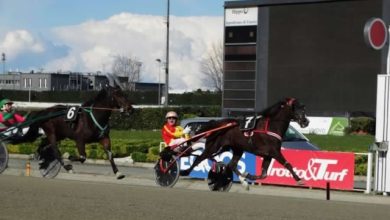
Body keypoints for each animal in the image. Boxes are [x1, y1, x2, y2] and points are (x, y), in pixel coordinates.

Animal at [180, 98, 310, 186]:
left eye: (304, 108)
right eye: (296, 108)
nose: (306, 122)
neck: (271, 127)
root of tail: (217, 123)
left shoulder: (268, 155)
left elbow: (264, 174)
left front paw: (249, 175)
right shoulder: (275, 152)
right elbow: (287, 164)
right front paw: (299, 180)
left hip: (237, 148)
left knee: (231, 164)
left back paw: (243, 178)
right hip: (213, 147)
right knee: (199, 158)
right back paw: (185, 171)